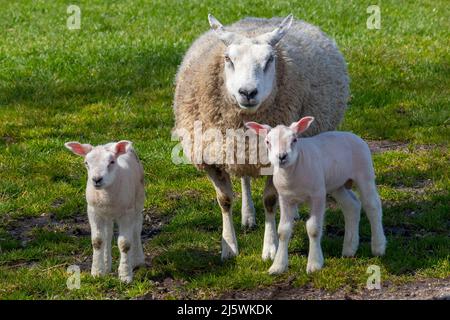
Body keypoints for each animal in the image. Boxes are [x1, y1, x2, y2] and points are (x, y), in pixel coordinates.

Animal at [65, 140, 145, 282]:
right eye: (86, 163)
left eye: (112, 162)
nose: (97, 179)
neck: (106, 195)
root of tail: (112, 142)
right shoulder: (93, 211)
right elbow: (98, 241)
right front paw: (97, 272)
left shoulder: (127, 213)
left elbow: (124, 244)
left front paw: (125, 275)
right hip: (106, 214)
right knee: (108, 234)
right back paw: (107, 265)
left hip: (138, 199)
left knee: (137, 228)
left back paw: (137, 260)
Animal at [172, 14, 348, 260]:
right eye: (228, 59)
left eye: (270, 60)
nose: (248, 92)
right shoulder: (212, 158)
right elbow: (224, 200)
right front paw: (229, 246)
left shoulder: (273, 160)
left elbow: (270, 201)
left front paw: (270, 247)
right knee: (244, 179)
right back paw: (248, 216)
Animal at [246, 118, 386, 276]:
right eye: (267, 142)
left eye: (294, 140)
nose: (282, 157)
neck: (292, 174)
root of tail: (351, 134)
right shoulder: (285, 198)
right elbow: (283, 230)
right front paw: (278, 266)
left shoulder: (317, 195)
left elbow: (313, 228)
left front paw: (314, 263)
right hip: (337, 184)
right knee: (352, 206)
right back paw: (349, 248)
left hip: (364, 173)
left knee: (372, 206)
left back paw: (378, 246)